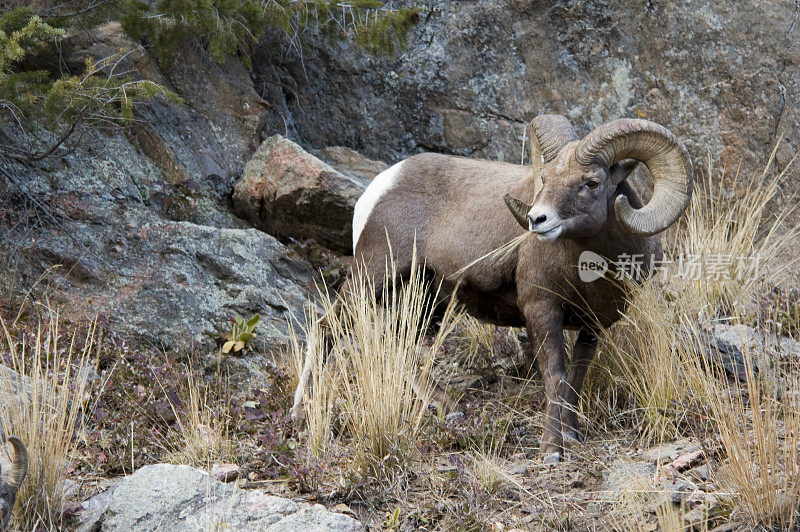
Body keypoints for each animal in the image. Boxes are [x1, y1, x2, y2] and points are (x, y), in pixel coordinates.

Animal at [290, 116, 692, 462]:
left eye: (591, 183)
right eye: (544, 179)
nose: (537, 220)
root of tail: (380, 187)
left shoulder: (594, 325)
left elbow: (576, 378)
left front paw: (572, 434)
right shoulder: (541, 310)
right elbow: (554, 375)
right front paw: (552, 450)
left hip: (426, 299)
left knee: (403, 345)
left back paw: (450, 410)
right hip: (372, 278)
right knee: (326, 329)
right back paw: (301, 410)